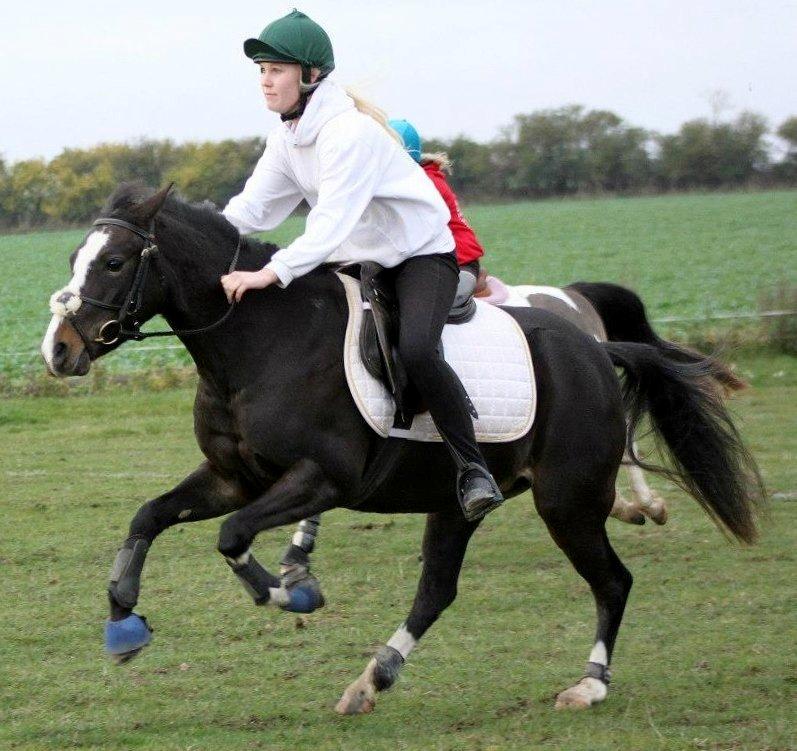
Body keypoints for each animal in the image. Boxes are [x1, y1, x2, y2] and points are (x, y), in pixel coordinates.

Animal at [40, 184, 764, 713]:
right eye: (75, 257)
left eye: (112, 262)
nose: (58, 350)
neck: (258, 345)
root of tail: (592, 346)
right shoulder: (232, 476)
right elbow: (149, 516)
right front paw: (122, 620)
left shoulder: (321, 478)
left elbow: (232, 536)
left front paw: (292, 593)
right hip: (454, 502)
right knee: (437, 590)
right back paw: (373, 678)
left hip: (567, 500)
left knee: (612, 580)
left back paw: (589, 682)